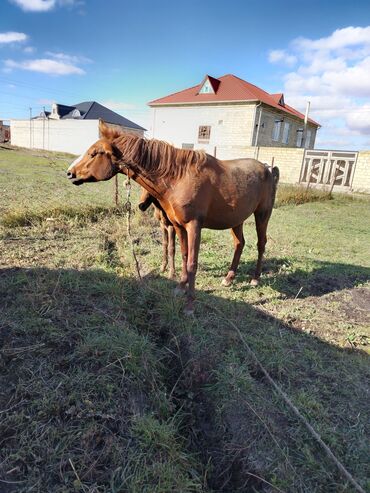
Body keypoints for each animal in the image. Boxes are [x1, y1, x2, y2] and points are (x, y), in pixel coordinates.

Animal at [67, 121, 280, 314]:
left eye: (94, 153)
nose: (70, 173)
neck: (178, 178)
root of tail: (268, 169)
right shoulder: (178, 226)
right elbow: (184, 256)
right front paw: (180, 287)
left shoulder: (194, 226)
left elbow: (193, 262)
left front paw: (190, 305)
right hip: (236, 220)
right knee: (239, 243)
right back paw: (229, 278)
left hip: (262, 215)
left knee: (261, 244)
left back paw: (255, 278)